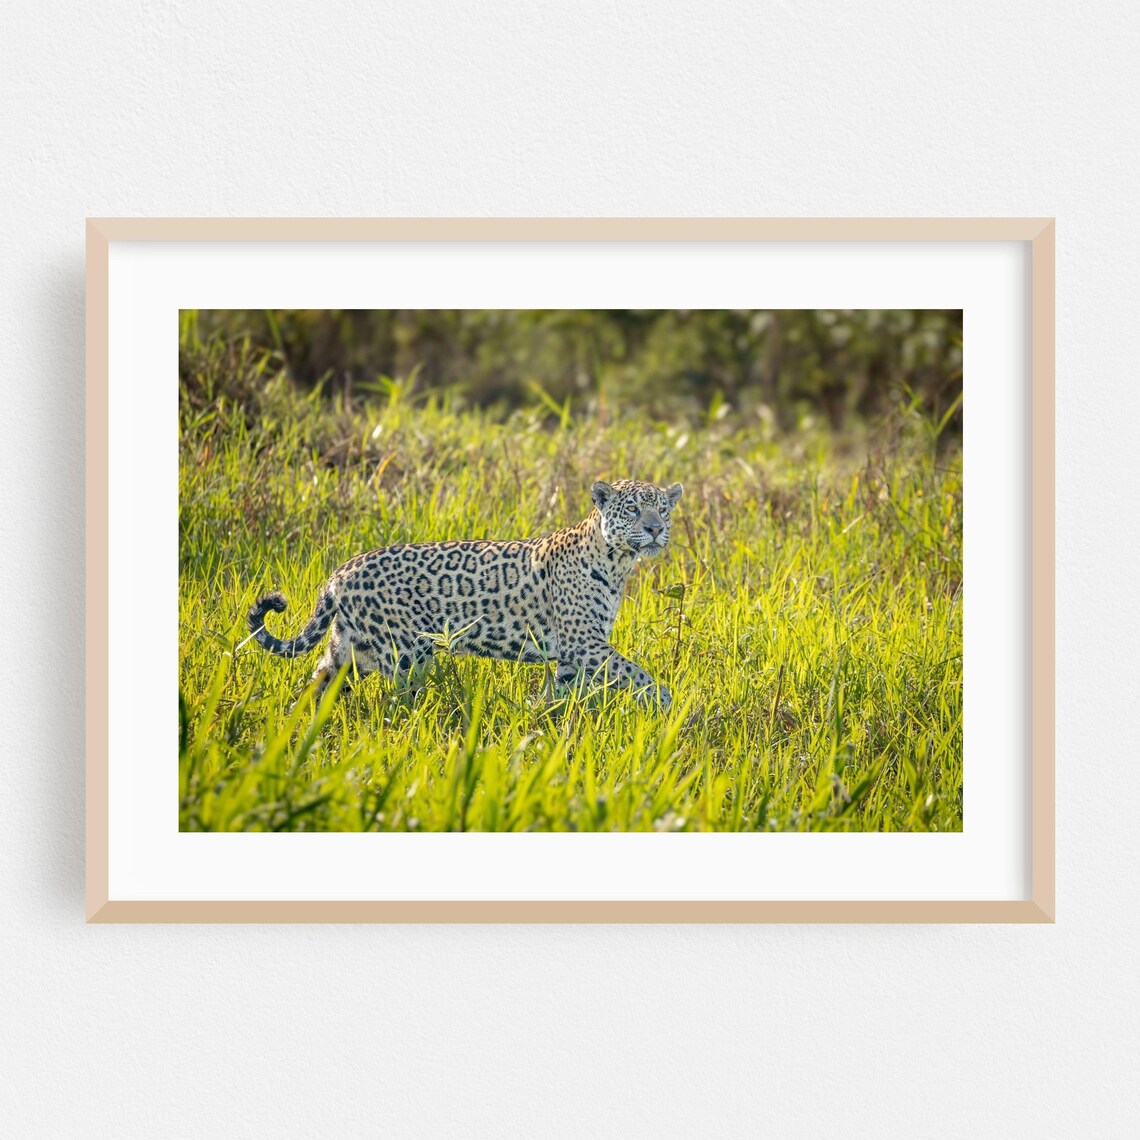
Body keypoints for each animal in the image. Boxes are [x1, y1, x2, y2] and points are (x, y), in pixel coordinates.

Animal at [246, 478, 684, 708]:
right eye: (632, 510)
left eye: (663, 509)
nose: (656, 529)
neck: (617, 561)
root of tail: (341, 572)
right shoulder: (585, 643)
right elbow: (639, 675)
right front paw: (671, 705)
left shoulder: (575, 655)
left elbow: (563, 695)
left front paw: (546, 719)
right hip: (405, 654)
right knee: (398, 703)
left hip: (348, 652)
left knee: (315, 688)